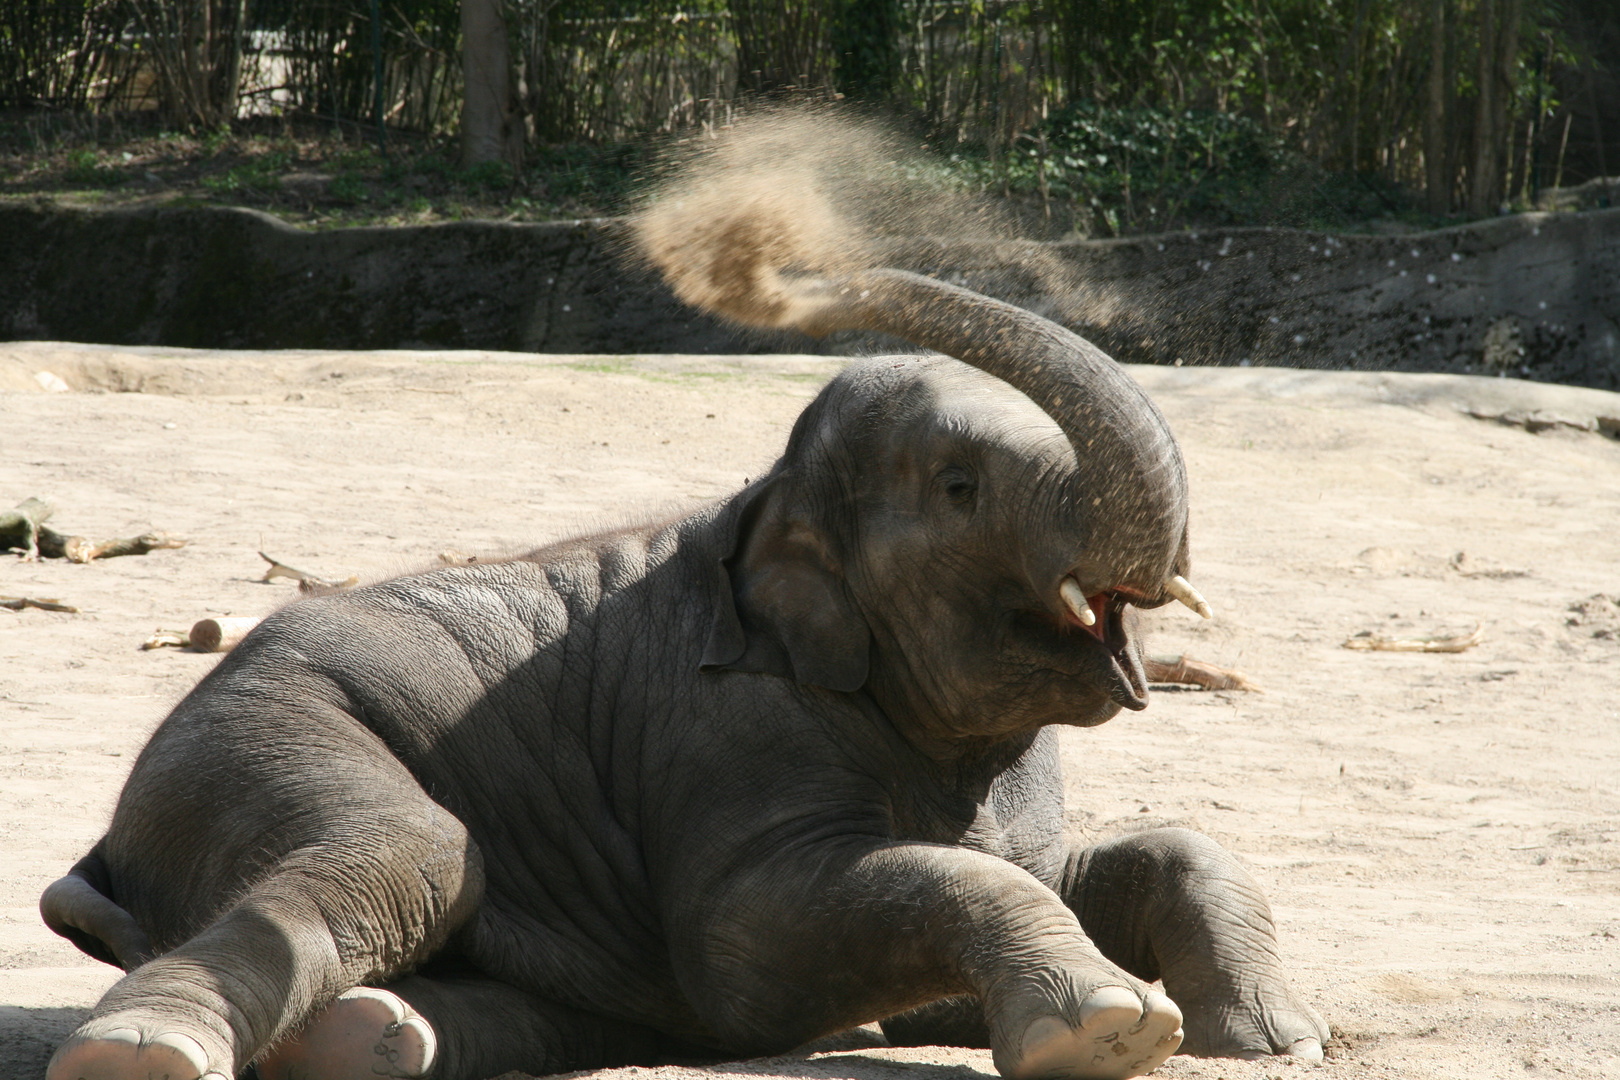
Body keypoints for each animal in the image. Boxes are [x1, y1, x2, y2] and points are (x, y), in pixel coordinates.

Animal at [38, 262, 1328, 1080]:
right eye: (962, 487)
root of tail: (107, 841)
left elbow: (1121, 858)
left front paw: (1277, 1041)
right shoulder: (729, 739)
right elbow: (750, 950)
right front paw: (1110, 1027)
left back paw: (368, 1039)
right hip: (256, 733)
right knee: (418, 851)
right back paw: (139, 1056)